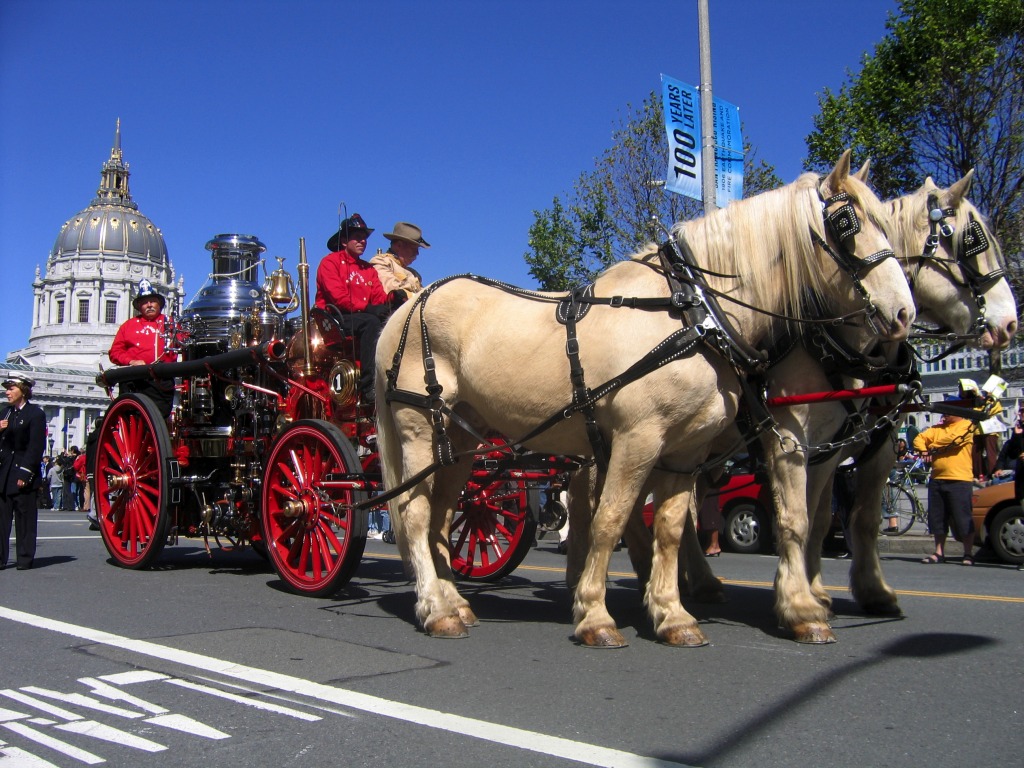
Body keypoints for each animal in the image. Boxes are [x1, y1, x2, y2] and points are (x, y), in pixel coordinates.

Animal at [374, 150, 913, 643]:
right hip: (418, 428)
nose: (903, 313)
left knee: (443, 515)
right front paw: (595, 615)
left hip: (460, 440)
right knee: (415, 514)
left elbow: (671, 528)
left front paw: (673, 615)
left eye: (889, 224)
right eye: (846, 222)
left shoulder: (686, 450)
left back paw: (454, 602)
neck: (692, 310)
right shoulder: (641, 437)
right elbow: (611, 519)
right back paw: (435, 609)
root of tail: (405, 310)